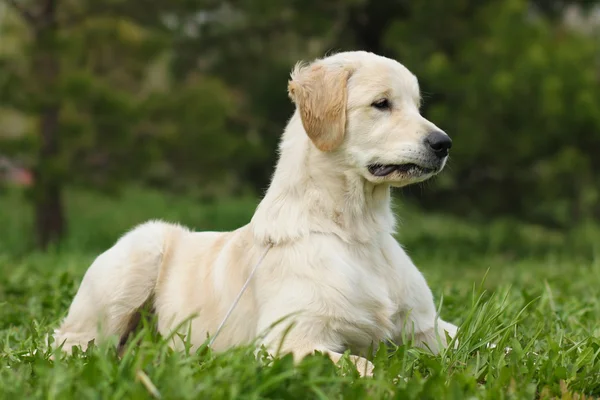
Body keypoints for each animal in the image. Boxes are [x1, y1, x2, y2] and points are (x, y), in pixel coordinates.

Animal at [55, 50, 460, 376]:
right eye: (382, 103)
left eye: (417, 105)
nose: (444, 144)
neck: (355, 230)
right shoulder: (289, 340)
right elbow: (370, 369)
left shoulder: (427, 326)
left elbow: (470, 345)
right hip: (139, 253)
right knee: (69, 344)